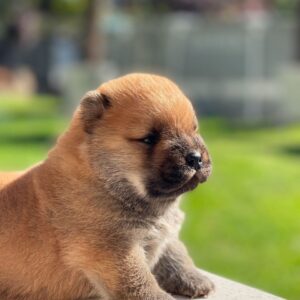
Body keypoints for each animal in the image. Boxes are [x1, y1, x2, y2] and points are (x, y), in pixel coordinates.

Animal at [0, 73, 213, 300]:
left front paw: (195, 278)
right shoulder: (115, 250)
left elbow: (175, 252)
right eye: (149, 138)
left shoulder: (159, 235)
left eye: (194, 129)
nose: (195, 158)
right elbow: (140, 281)